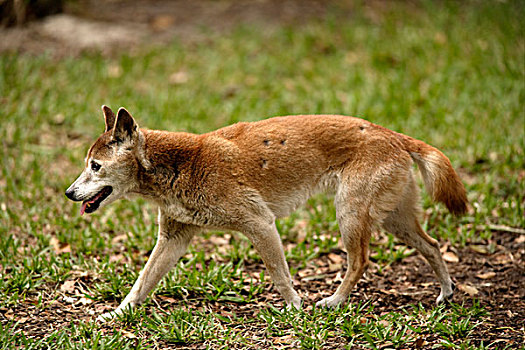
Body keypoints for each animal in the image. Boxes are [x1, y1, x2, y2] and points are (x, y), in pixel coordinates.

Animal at [64, 105, 466, 322]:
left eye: (95, 166)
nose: (69, 193)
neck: (178, 166)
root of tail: (395, 134)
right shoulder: (173, 238)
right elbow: (141, 284)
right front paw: (117, 314)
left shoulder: (259, 223)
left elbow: (280, 277)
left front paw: (296, 310)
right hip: (394, 218)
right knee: (432, 245)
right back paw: (446, 293)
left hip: (351, 213)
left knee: (360, 261)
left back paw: (335, 301)